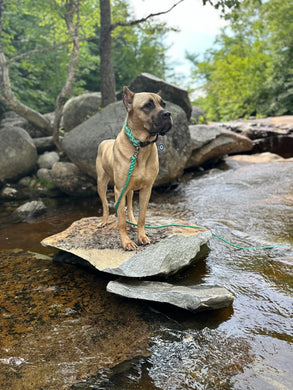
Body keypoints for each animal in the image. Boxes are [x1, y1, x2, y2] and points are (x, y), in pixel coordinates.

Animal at [97, 86, 171, 250]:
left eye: (163, 104)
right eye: (148, 105)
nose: (168, 114)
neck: (140, 146)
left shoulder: (146, 189)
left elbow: (142, 216)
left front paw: (141, 236)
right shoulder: (119, 190)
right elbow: (121, 221)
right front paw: (126, 242)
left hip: (129, 189)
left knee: (130, 206)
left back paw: (132, 221)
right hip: (102, 183)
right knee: (105, 204)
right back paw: (104, 221)